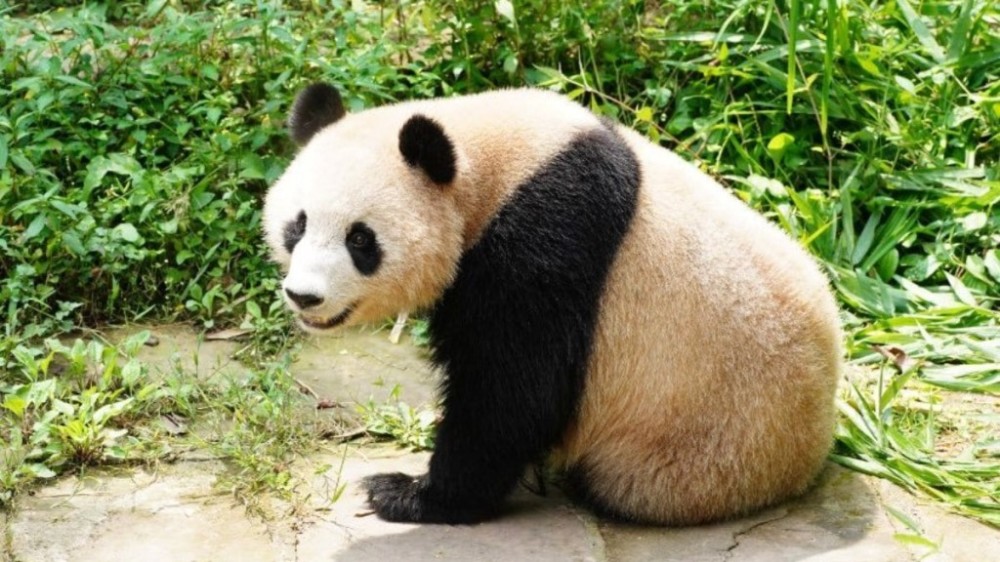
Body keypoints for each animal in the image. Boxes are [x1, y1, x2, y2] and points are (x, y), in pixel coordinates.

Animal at [263, 83, 843, 525]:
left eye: (361, 240)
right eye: (298, 225)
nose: (304, 295)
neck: (491, 161)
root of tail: (809, 455)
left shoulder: (547, 238)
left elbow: (514, 389)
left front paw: (408, 493)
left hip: (698, 447)